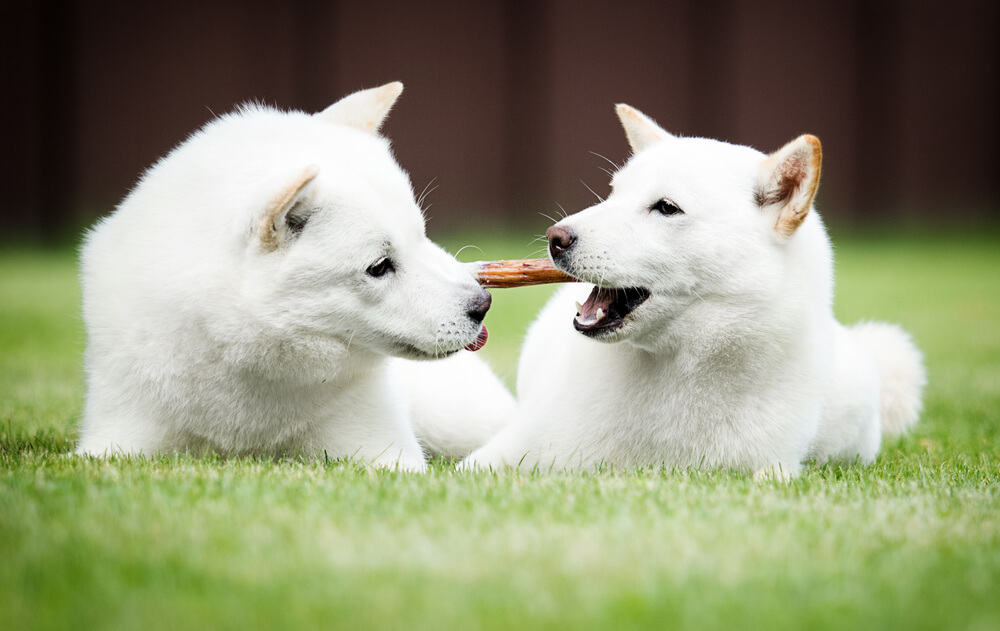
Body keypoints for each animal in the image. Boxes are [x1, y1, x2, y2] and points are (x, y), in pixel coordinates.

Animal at [464, 105, 924, 478]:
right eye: (613, 194)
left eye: (667, 207)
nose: (555, 238)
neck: (678, 373)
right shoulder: (498, 456)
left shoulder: (773, 468)